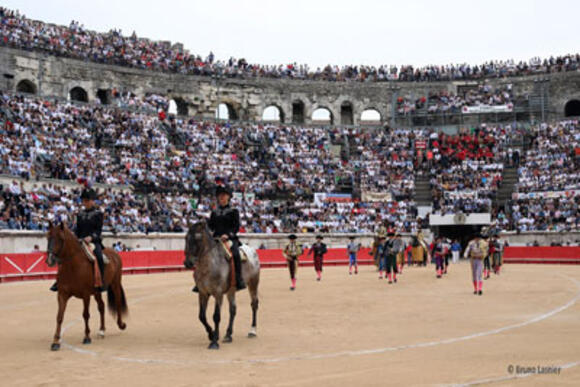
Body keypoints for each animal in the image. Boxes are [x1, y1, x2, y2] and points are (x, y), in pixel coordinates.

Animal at [45, 221, 128, 352]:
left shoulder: (85, 294)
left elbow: (85, 315)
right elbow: (59, 316)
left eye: (61, 238)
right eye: (48, 237)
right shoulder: (62, 294)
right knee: (101, 306)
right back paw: (101, 330)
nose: (50, 260)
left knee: (118, 302)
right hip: (97, 292)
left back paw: (121, 324)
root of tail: (114, 253)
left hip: (115, 284)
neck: (72, 266)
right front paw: (55, 342)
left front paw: (87, 337)